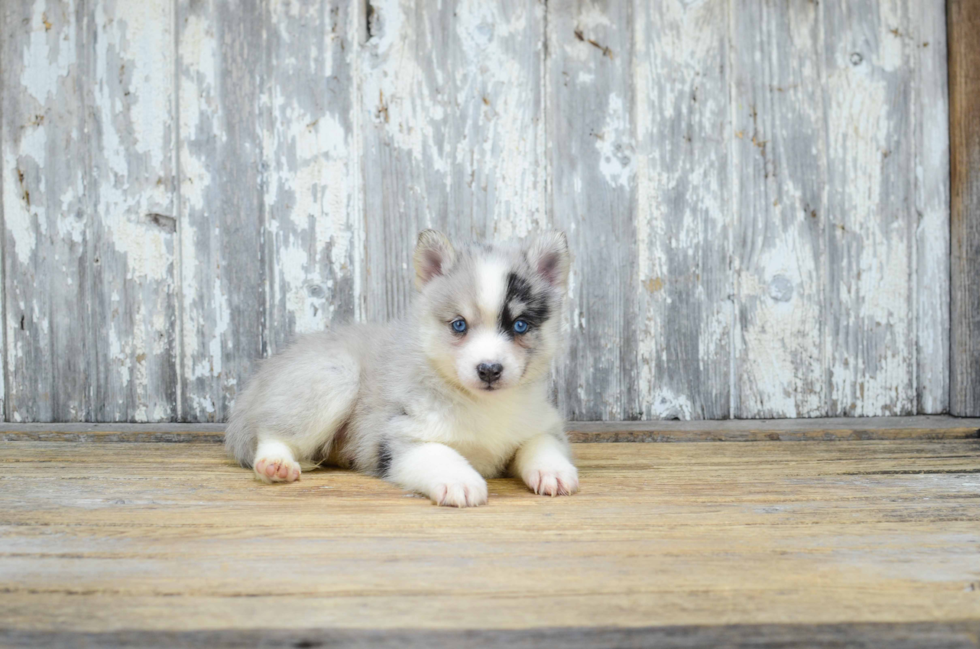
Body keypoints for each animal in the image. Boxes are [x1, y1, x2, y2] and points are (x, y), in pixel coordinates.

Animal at [226, 229, 580, 506]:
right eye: (459, 325)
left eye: (520, 325)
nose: (489, 370)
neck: (482, 404)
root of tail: (262, 377)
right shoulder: (399, 438)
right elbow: (439, 454)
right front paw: (460, 480)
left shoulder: (541, 423)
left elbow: (542, 444)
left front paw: (553, 470)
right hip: (335, 377)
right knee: (271, 431)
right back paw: (276, 463)